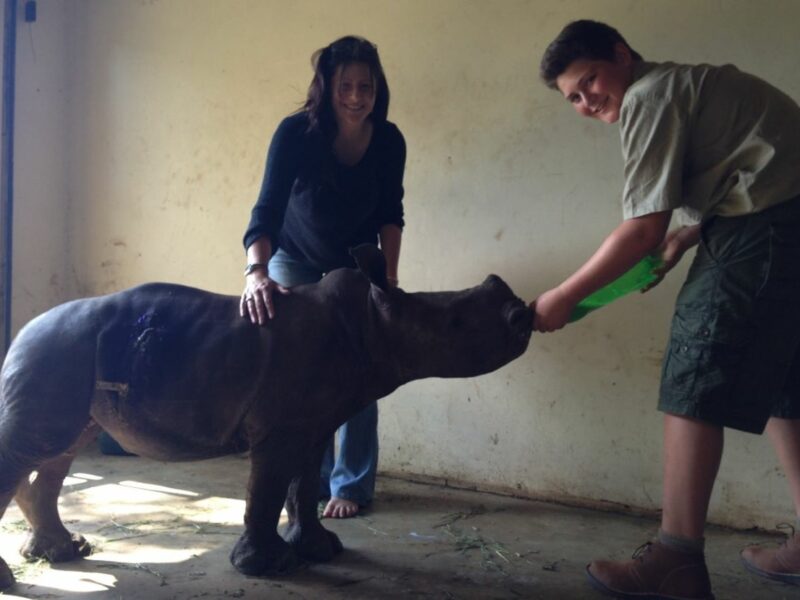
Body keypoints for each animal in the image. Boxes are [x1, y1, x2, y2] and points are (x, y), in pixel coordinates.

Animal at [0, 244, 532, 589]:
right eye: (456, 323)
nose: (524, 316)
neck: (376, 322)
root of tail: (23, 332)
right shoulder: (279, 426)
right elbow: (270, 487)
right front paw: (268, 567)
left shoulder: (314, 421)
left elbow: (303, 486)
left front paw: (321, 549)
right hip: (55, 350)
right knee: (39, 447)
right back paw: (23, 572)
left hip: (64, 357)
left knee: (58, 450)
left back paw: (65, 552)